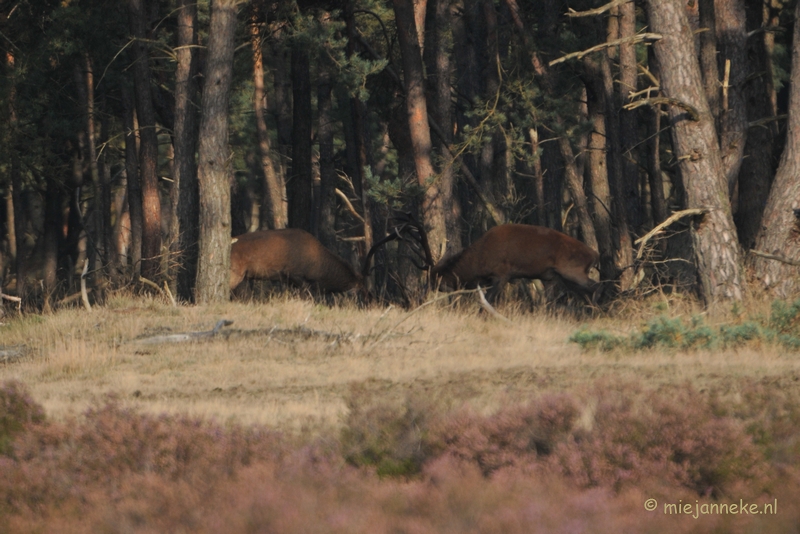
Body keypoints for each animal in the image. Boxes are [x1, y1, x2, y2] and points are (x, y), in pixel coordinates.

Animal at [428, 224, 596, 304]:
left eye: (439, 280)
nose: (429, 289)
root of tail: (594, 254)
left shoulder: (501, 276)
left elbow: (488, 300)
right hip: (562, 278)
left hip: (573, 273)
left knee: (594, 286)